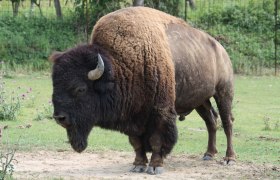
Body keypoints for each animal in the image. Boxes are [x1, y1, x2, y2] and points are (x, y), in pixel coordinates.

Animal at [49, 6, 235, 174]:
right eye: (54, 85)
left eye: (80, 89)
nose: (59, 117)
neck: (119, 66)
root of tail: (220, 49)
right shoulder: (132, 116)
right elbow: (136, 142)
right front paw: (138, 165)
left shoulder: (160, 112)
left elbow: (156, 140)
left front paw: (155, 166)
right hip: (200, 101)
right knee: (211, 121)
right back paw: (208, 154)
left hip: (223, 92)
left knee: (227, 123)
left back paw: (229, 159)